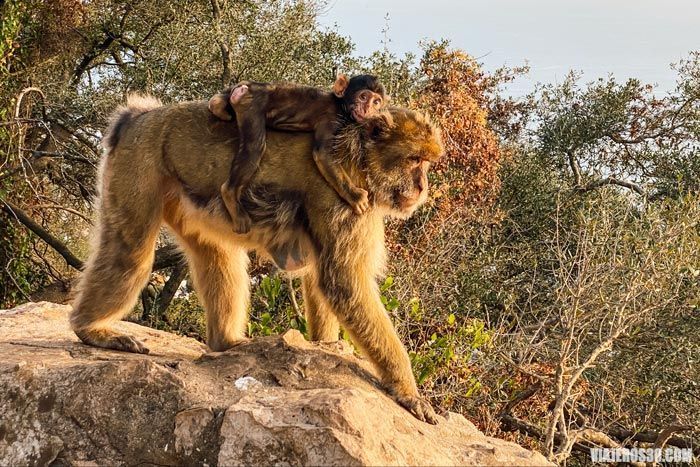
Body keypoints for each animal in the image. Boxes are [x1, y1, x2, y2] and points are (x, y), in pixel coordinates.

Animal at [70, 94, 444, 424]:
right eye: (415, 160)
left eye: (426, 163)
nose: (422, 187)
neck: (358, 157)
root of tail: (140, 115)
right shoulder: (345, 199)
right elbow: (344, 282)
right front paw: (407, 391)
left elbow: (322, 278)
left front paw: (326, 346)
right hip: (139, 160)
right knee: (130, 249)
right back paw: (90, 328)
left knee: (215, 254)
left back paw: (225, 342)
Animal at [207, 75, 387, 234]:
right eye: (363, 97)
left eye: (376, 102)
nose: (368, 108)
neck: (340, 105)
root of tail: (246, 86)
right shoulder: (331, 119)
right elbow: (323, 153)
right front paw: (355, 196)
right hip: (250, 104)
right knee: (254, 147)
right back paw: (230, 194)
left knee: (216, 104)